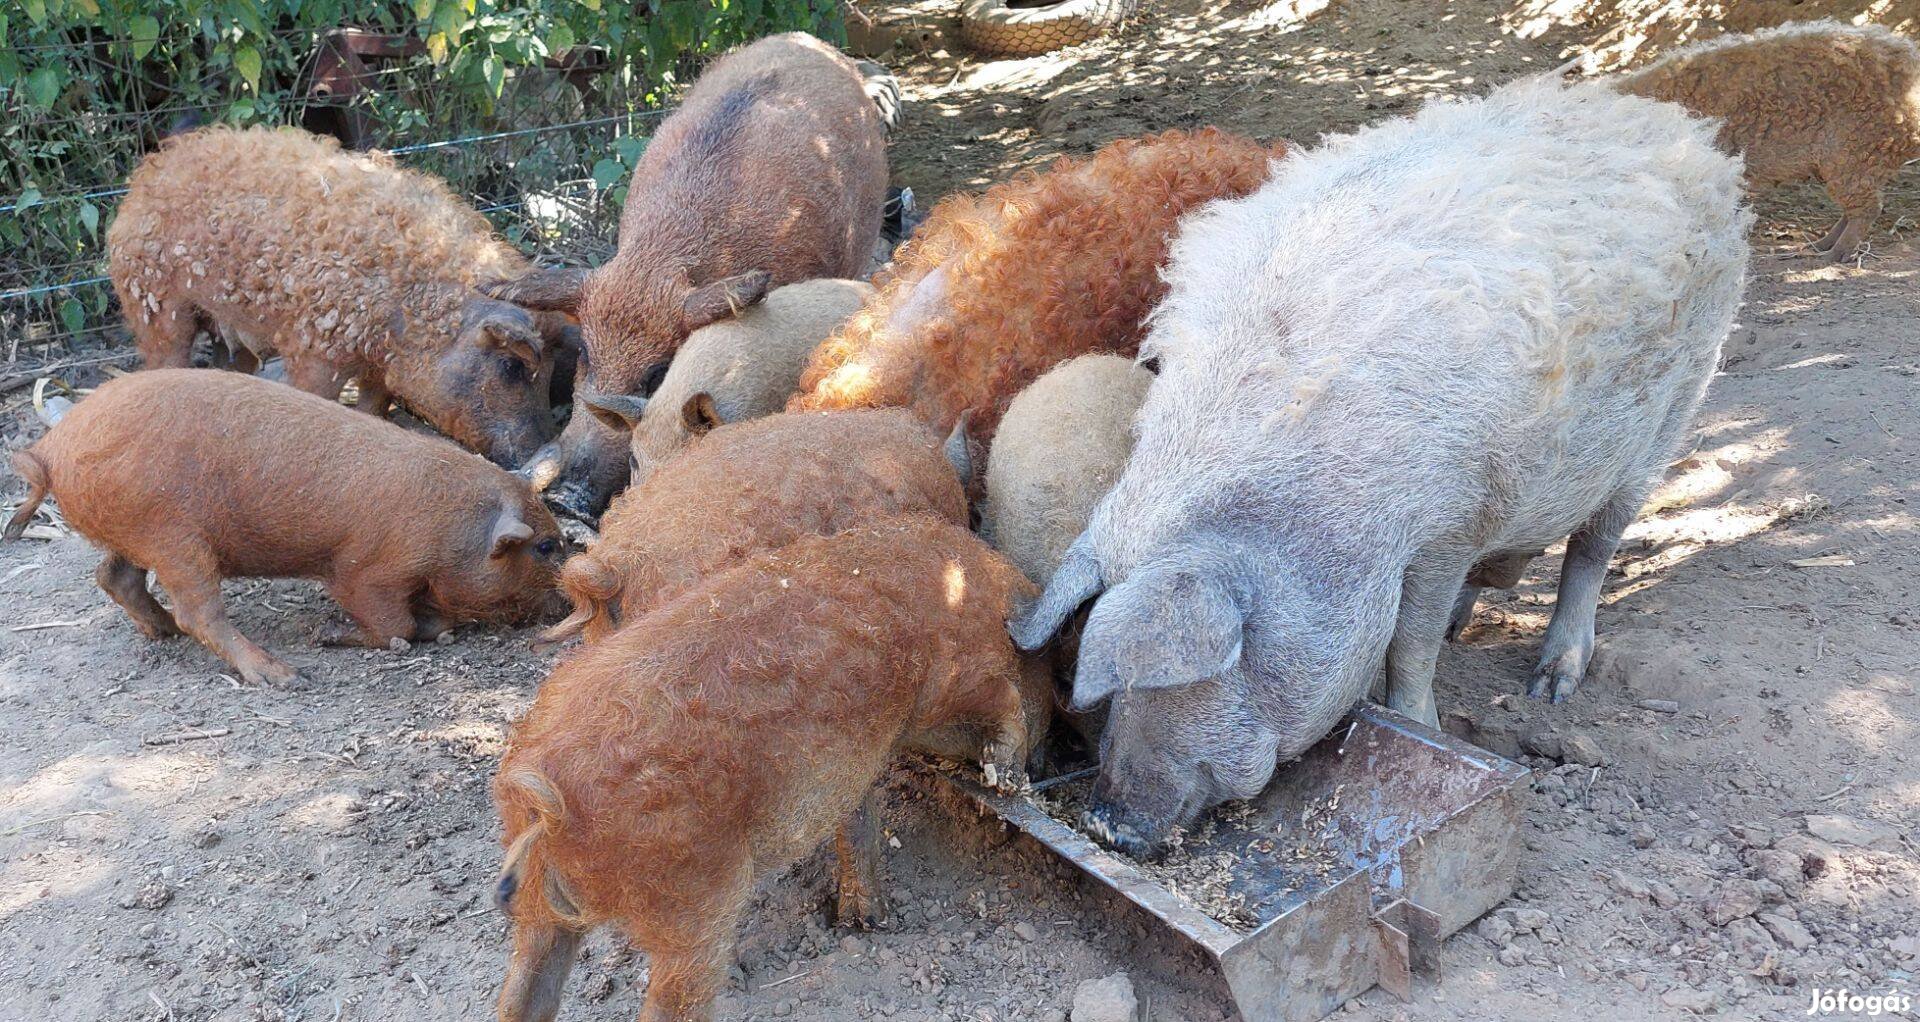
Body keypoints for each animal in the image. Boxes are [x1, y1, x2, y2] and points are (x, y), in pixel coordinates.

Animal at [5, 368, 560, 687]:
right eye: (547, 547)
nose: (564, 599)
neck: (455, 526)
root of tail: (50, 448)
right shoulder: (365, 571)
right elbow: (392, 624)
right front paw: (325, 635)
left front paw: (438, 630)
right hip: (174, 537)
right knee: (197, 612)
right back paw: (286, 677)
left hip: (139, 532)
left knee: (114, 577)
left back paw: (162, 632)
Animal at [487, 514, 1044, 1022]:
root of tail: (548, 801)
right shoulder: (947, 688)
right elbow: (1004, 706)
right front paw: (1008, 780)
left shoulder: (854, 768)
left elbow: (857, 820)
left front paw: (867, 921)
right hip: (695, 902)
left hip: (540, 908)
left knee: (520, 995)